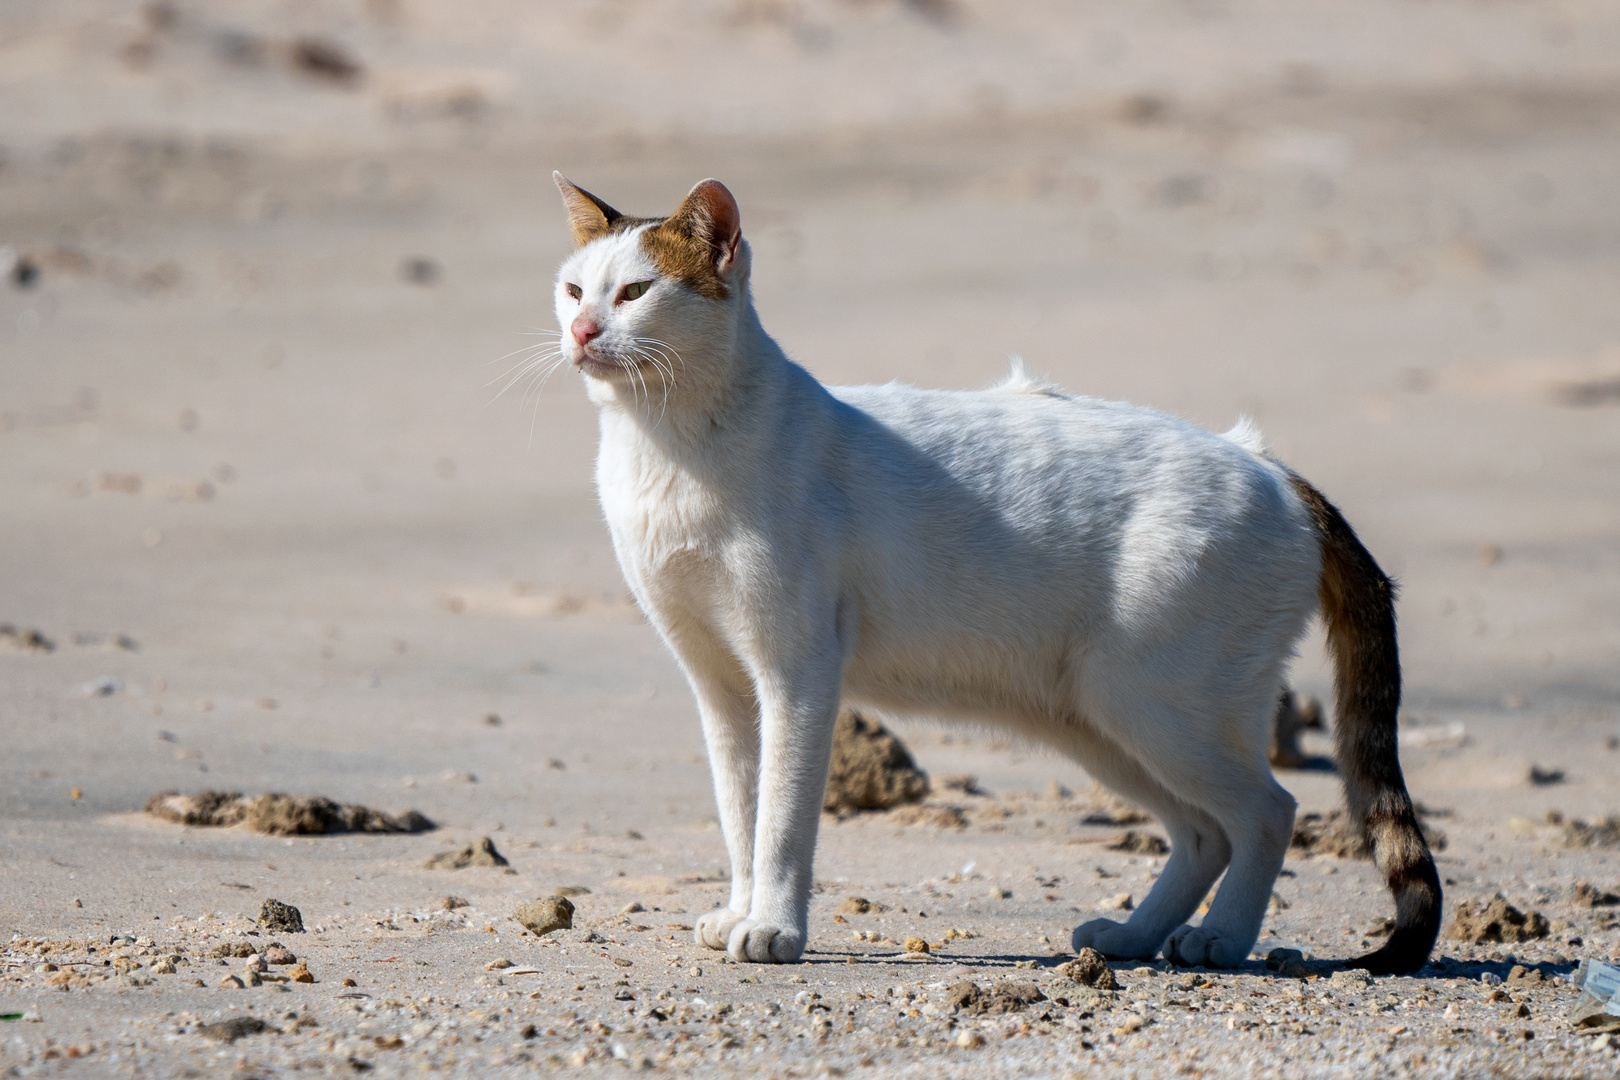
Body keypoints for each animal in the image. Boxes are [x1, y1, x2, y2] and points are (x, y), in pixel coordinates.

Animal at [547, 175, 1445, 971]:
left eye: (635, 292)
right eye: (572, 289)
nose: (583, 332)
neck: (668, 446)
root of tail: (1267, 462)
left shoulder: (797, 674)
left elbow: (782, 822)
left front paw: (773, 929)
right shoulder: (722, 686)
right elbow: (741, 814)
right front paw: (741, 912)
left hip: (1157, 707)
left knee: (1267, 811)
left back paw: (1221, 938)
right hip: (1102, 720)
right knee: (1204, 832)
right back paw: (1136, 936)